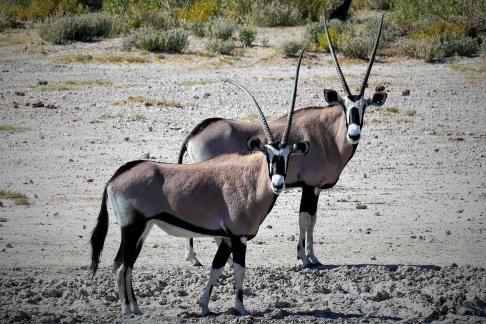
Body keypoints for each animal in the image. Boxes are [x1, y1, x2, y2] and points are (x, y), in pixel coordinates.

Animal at [89, 52, 310, 314]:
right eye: (267, 154)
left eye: (287, 156)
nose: (277, 183)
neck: (249, 181)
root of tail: (115, 177)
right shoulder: (238, 237)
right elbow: (239, 271)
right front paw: (240, 308)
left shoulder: (227, 238)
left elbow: (216, 268)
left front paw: (204, 306)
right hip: (131, 228)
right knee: (121, 265)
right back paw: (126, 309)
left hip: (143, 228)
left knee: (127, 264)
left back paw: (136, 307)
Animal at [178, 15, 388, 268]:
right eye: (344, 106)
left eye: (364, 107)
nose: (354, 134)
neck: (327, 134)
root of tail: (195, 133)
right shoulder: (310, 185)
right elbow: (305, 220)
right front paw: (305, 258)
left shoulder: (315, 188)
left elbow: (313, 219)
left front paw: (314, 257)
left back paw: (193, 257)